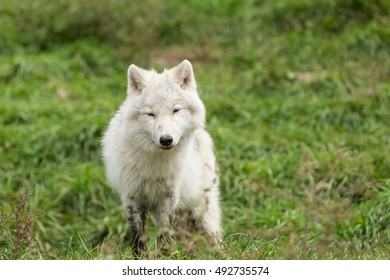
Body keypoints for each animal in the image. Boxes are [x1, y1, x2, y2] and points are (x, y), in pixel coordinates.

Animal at [102, 59, 221, 254]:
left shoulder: (168, 197)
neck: (154, 164)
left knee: (215, 237)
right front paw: (141, 256)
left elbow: (164, 232)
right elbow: (138, 236)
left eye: (176, 110)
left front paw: (166, 254)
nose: (166, 140)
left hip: (202, 212)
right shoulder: (131, 197)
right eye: (150, 114)